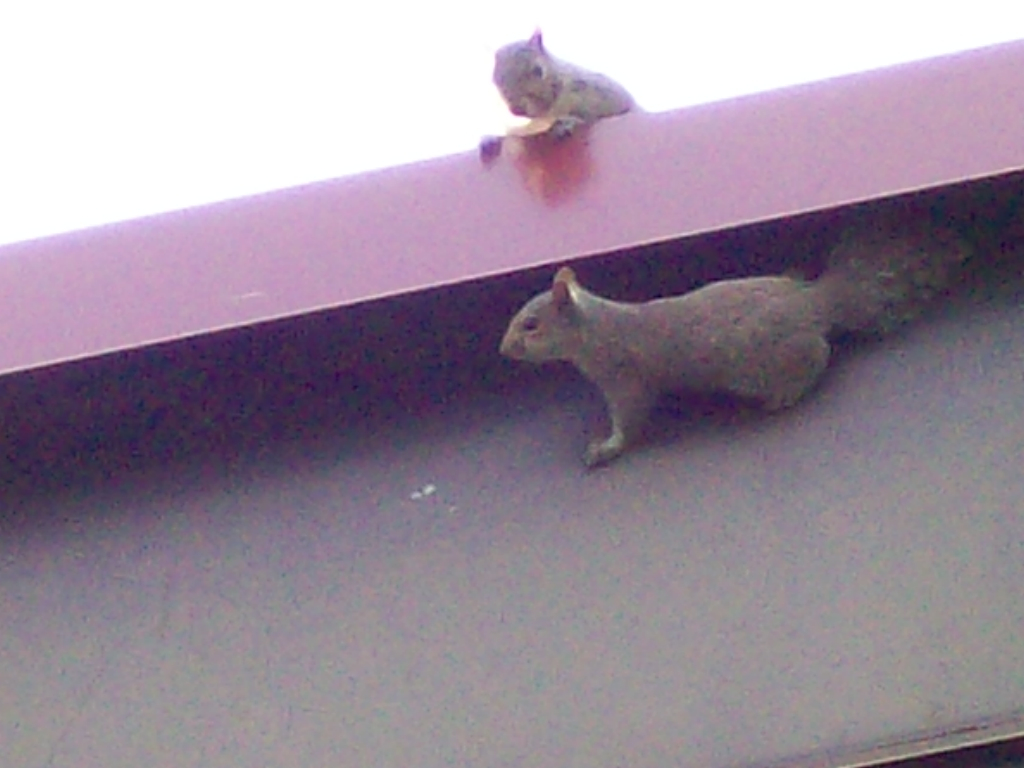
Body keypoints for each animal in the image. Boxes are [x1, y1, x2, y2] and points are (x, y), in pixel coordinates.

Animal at [481, 30, 637, 160]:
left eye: (538, 70)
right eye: (496, 79)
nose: (517, 110)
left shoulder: (601, 94)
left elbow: (593, 115)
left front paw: (568, 122)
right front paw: (491, 138)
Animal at [499, 221, 970, 467]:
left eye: (531, 325)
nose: (504, 350)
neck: (596, 329)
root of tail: (817, 302)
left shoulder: (626, 377)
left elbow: (631, 420)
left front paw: (606, 448)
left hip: (761, 363)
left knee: (818, 356)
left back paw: (783, 396)